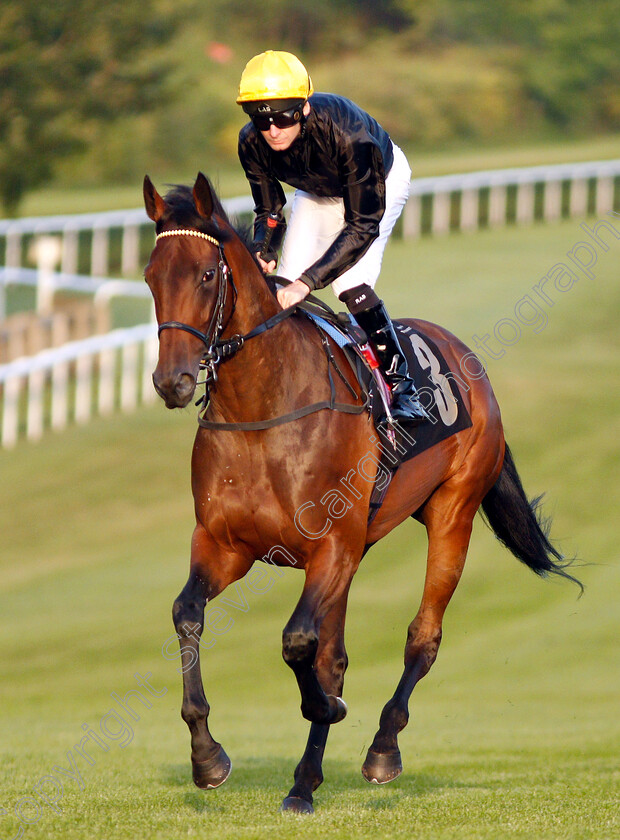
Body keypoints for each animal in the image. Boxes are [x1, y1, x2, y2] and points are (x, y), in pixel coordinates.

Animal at [143, 169, 580, 812]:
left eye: (205, 274)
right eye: (151, 277)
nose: (170, 381)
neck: (263, 411)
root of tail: (463, 354)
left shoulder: (331, 547)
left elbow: (298, 642)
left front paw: (326, 711)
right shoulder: (225, 546)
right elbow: (188, 614)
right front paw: (207, 756)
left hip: (452, 513)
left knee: (423, 637)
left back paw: (382, 750)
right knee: (336, 653)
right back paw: (304, 782)